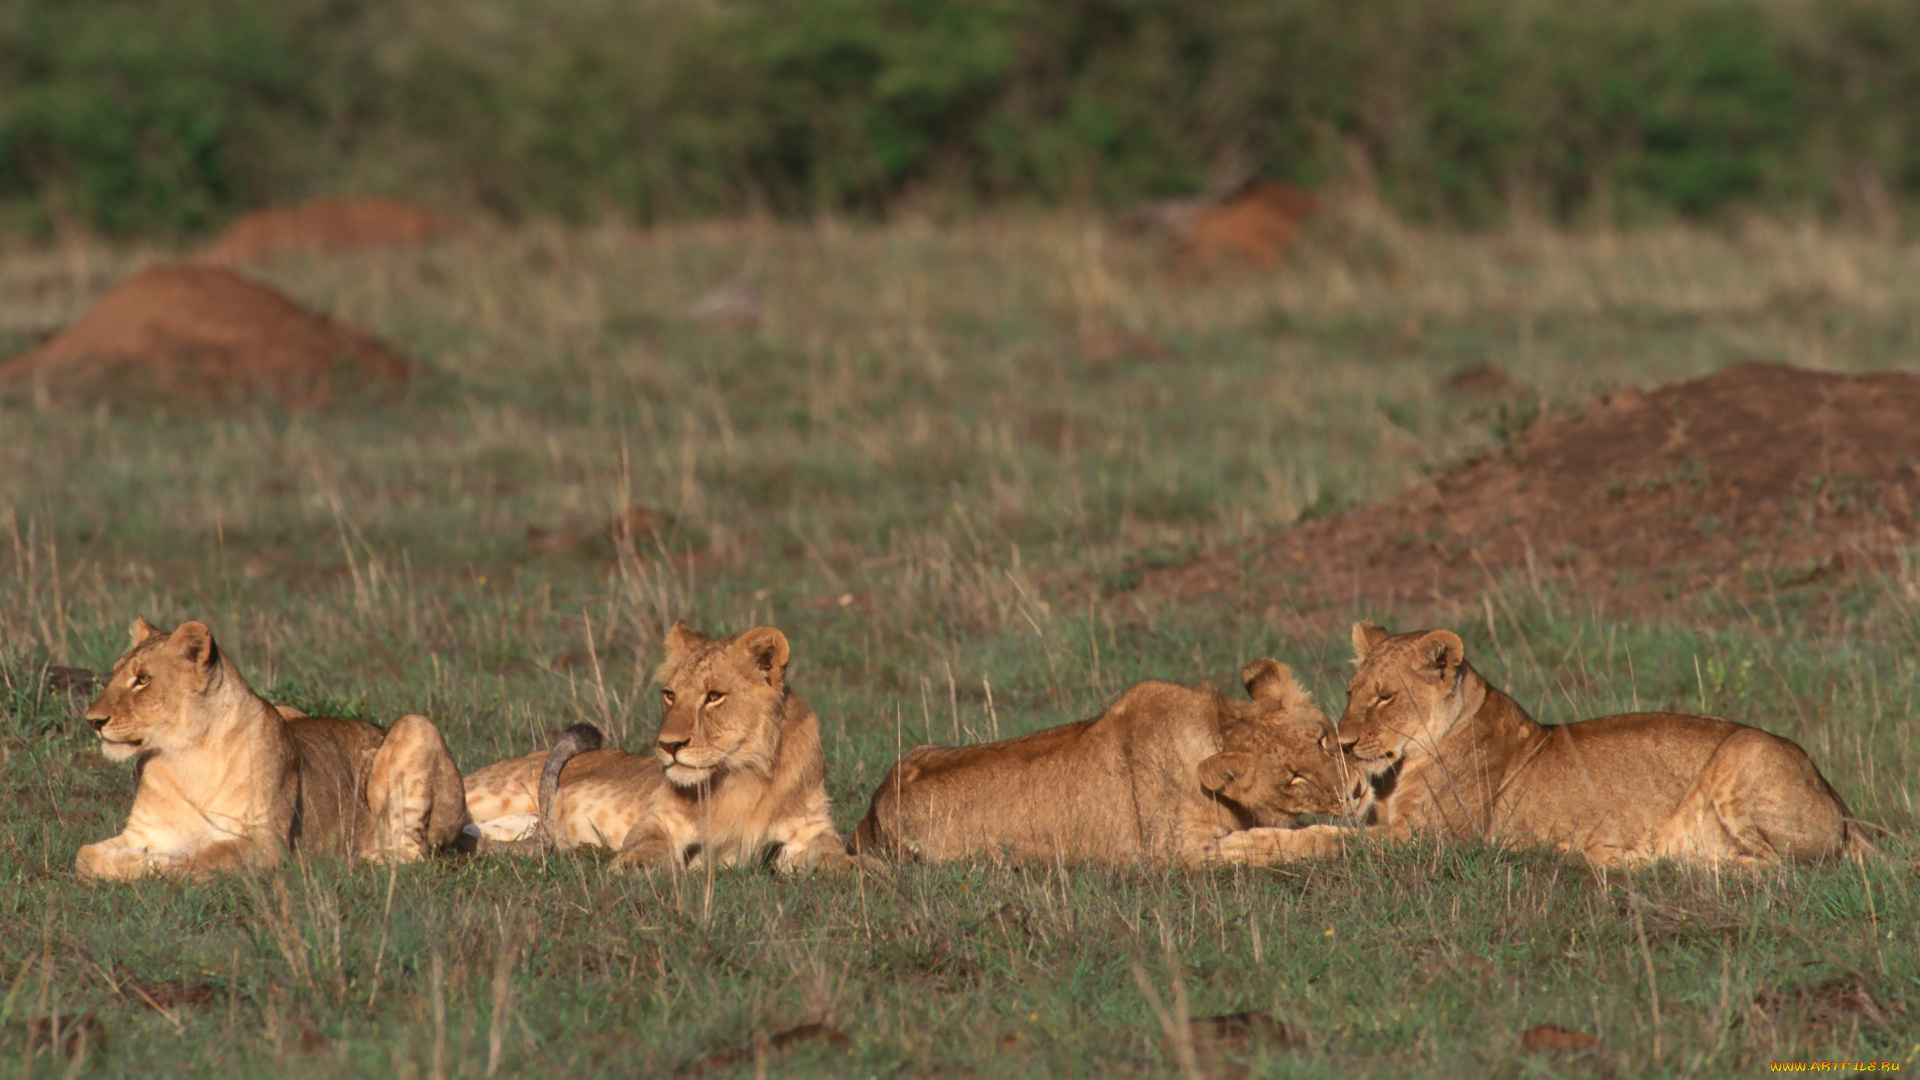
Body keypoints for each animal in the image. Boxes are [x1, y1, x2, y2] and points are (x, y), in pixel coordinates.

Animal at [77, 614, 468, 876]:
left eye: (143, 680)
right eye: (115, 673)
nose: (93, 720)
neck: (184, 755)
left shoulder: (267, 843)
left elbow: (201, 860)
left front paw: (159, 864)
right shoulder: (143, 832)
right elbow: (84, 856)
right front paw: (144, 859)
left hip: (417, 726)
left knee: (413, 853)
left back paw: (358, 858)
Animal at [848, 657, 1359, 864]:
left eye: (1323, 740)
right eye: (1292, 778)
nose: (1353, 792)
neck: (1214, 727)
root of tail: (872, 812)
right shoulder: (1175, 851)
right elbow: (1272, 843)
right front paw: (1346, 842)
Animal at [1221, 618, 1866, 860]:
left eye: (1385, 697)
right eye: (1351, 691)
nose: (1345, 744)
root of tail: (1841, 804)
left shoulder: (1432, 841)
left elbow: (1327, 840)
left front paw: (1241, 847)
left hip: (1744, 757)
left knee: (1779, 869)